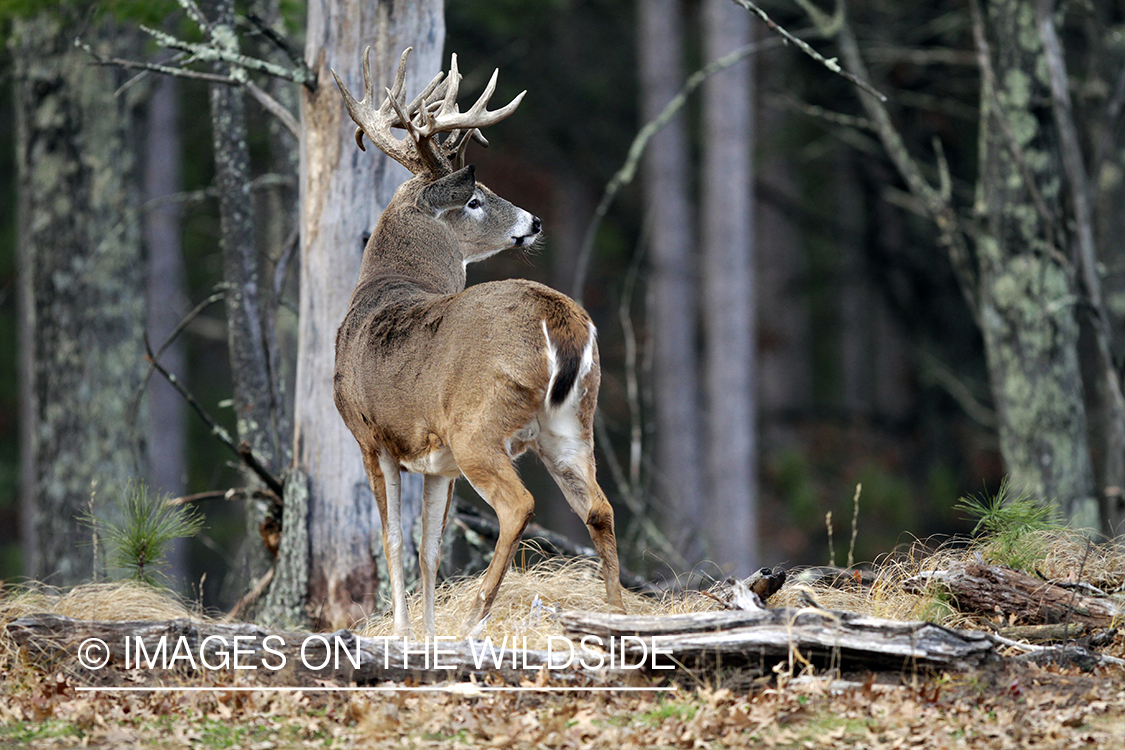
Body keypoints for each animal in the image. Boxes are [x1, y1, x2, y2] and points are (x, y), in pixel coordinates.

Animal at [328, 46, 630, 638]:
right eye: (473, 200)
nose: (535, 221)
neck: (385, 287)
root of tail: (560, 316)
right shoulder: (433, 460)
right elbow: (428, 547)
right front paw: (424, 635)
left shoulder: (369, 436)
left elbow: (393, 541)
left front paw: (402, 633)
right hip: (571, 421)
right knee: (600, 509)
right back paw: (613, 616)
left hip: (479, 423)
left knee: (519, 505)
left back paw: (475, 616)